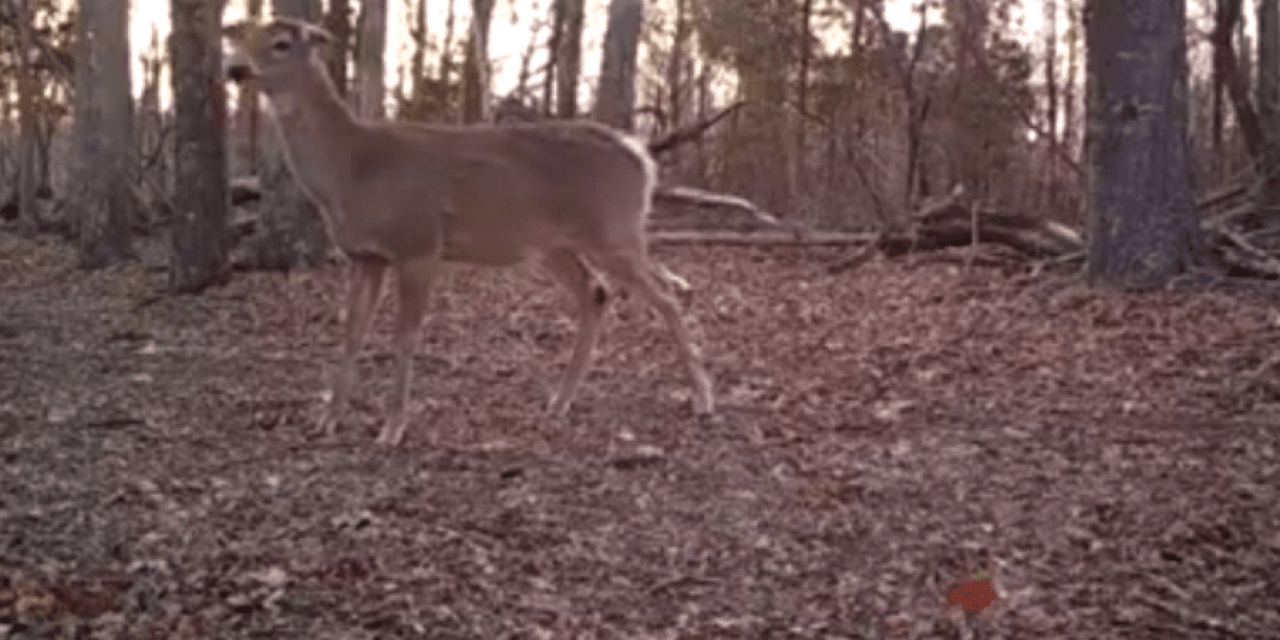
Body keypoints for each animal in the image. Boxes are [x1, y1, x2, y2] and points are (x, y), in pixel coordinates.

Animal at [225, 16, 716, 445]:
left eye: (281, 44)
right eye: (245, 37)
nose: (234, 68)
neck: (351, 170)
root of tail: (642, 156)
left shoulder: (419, 243)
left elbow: (405, 337)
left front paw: (392, 429)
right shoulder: (366, 255)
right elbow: (351, 332)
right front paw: (327, 419)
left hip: (613, 230)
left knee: (667, 295)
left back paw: (703, 400)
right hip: (554, 246)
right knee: (597, 292)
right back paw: (560, 401)